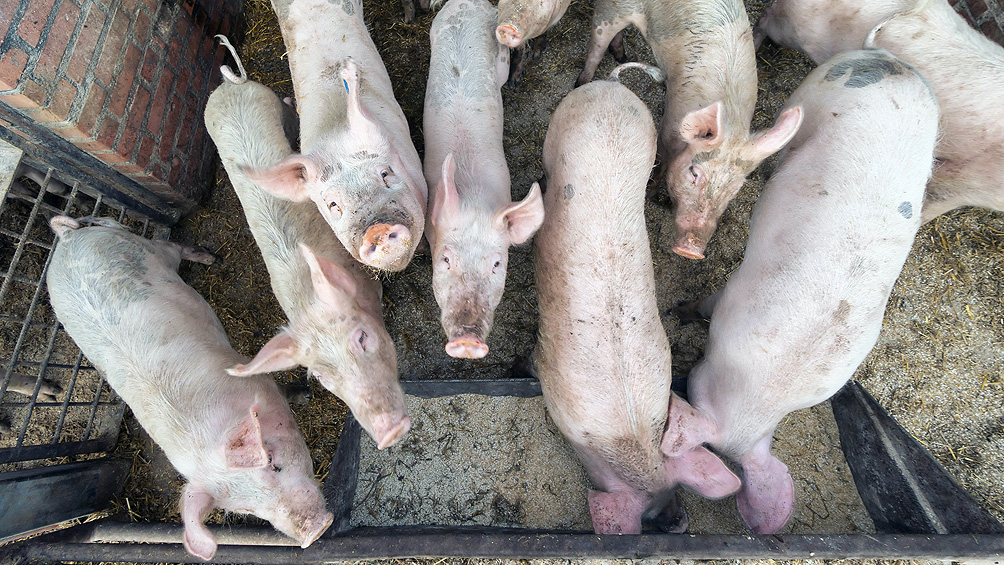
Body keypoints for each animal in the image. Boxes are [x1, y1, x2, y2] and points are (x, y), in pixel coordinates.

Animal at [45, 216, 333, 560]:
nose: (315, 532)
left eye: (275, 465)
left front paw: (304, 395)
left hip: (146, 249)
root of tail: (66, 238)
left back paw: (212, 259)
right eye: (246, 510)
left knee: (170, 246)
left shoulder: (258, 378)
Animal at [534, 79, 741, 535]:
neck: (625, 436)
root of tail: (610, 87)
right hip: (558, 126)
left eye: (676, 490)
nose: (679, 522)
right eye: (648, 520)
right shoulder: (548, 375)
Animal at [574, 0, 803, 260]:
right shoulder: (668, 126)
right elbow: (661, 161)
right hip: (612, 10)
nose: (692, 250)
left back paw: (621, 55)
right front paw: (651, 192)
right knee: (597, 44)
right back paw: (581, 81)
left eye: (735, 189)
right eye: (694, 173)